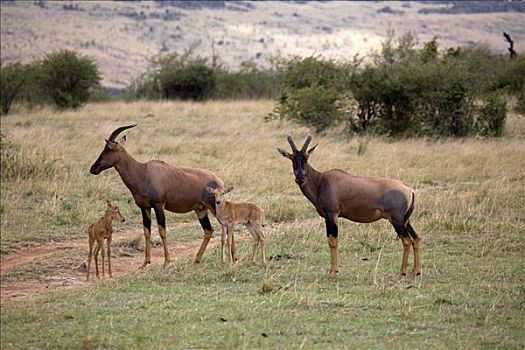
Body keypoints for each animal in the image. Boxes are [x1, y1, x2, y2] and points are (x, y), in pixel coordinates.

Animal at [88, 125, 223, 268]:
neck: (143, 173)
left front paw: (166, 262)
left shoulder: (159, 206)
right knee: (208, 230)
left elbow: (162, 231)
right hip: (200, 210)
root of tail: (218, 180)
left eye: (106, 150)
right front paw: (145, 263)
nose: (93, 168)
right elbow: (146, 232)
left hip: (214, 208)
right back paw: (196, 260)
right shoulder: (144, 207)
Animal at [276, 133, 420, 278]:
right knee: (416, 238)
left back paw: (402, 272)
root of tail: (409, 189)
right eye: (292, 158)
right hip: (405, 220)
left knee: (407, 240)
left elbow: (332, 241)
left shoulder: (332, 214)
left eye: (306, 158)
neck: (321, 181)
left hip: (396, 220)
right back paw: (416, 271)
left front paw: (333, 272)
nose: (300, 179)